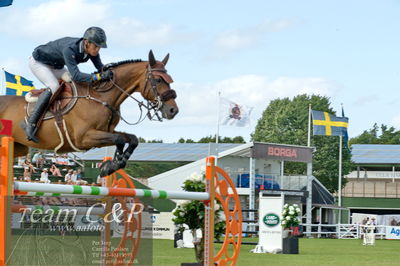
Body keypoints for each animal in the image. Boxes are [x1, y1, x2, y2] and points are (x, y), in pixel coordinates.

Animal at [0, 50, 178, 177]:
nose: (173, 110)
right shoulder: (83, 138)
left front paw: (113, 165)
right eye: (158, 80)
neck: (100, 96)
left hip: (20, 147)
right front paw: (111, 166)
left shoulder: (105, 132)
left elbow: (131, 139)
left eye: (170, 80)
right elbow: (119, 139)